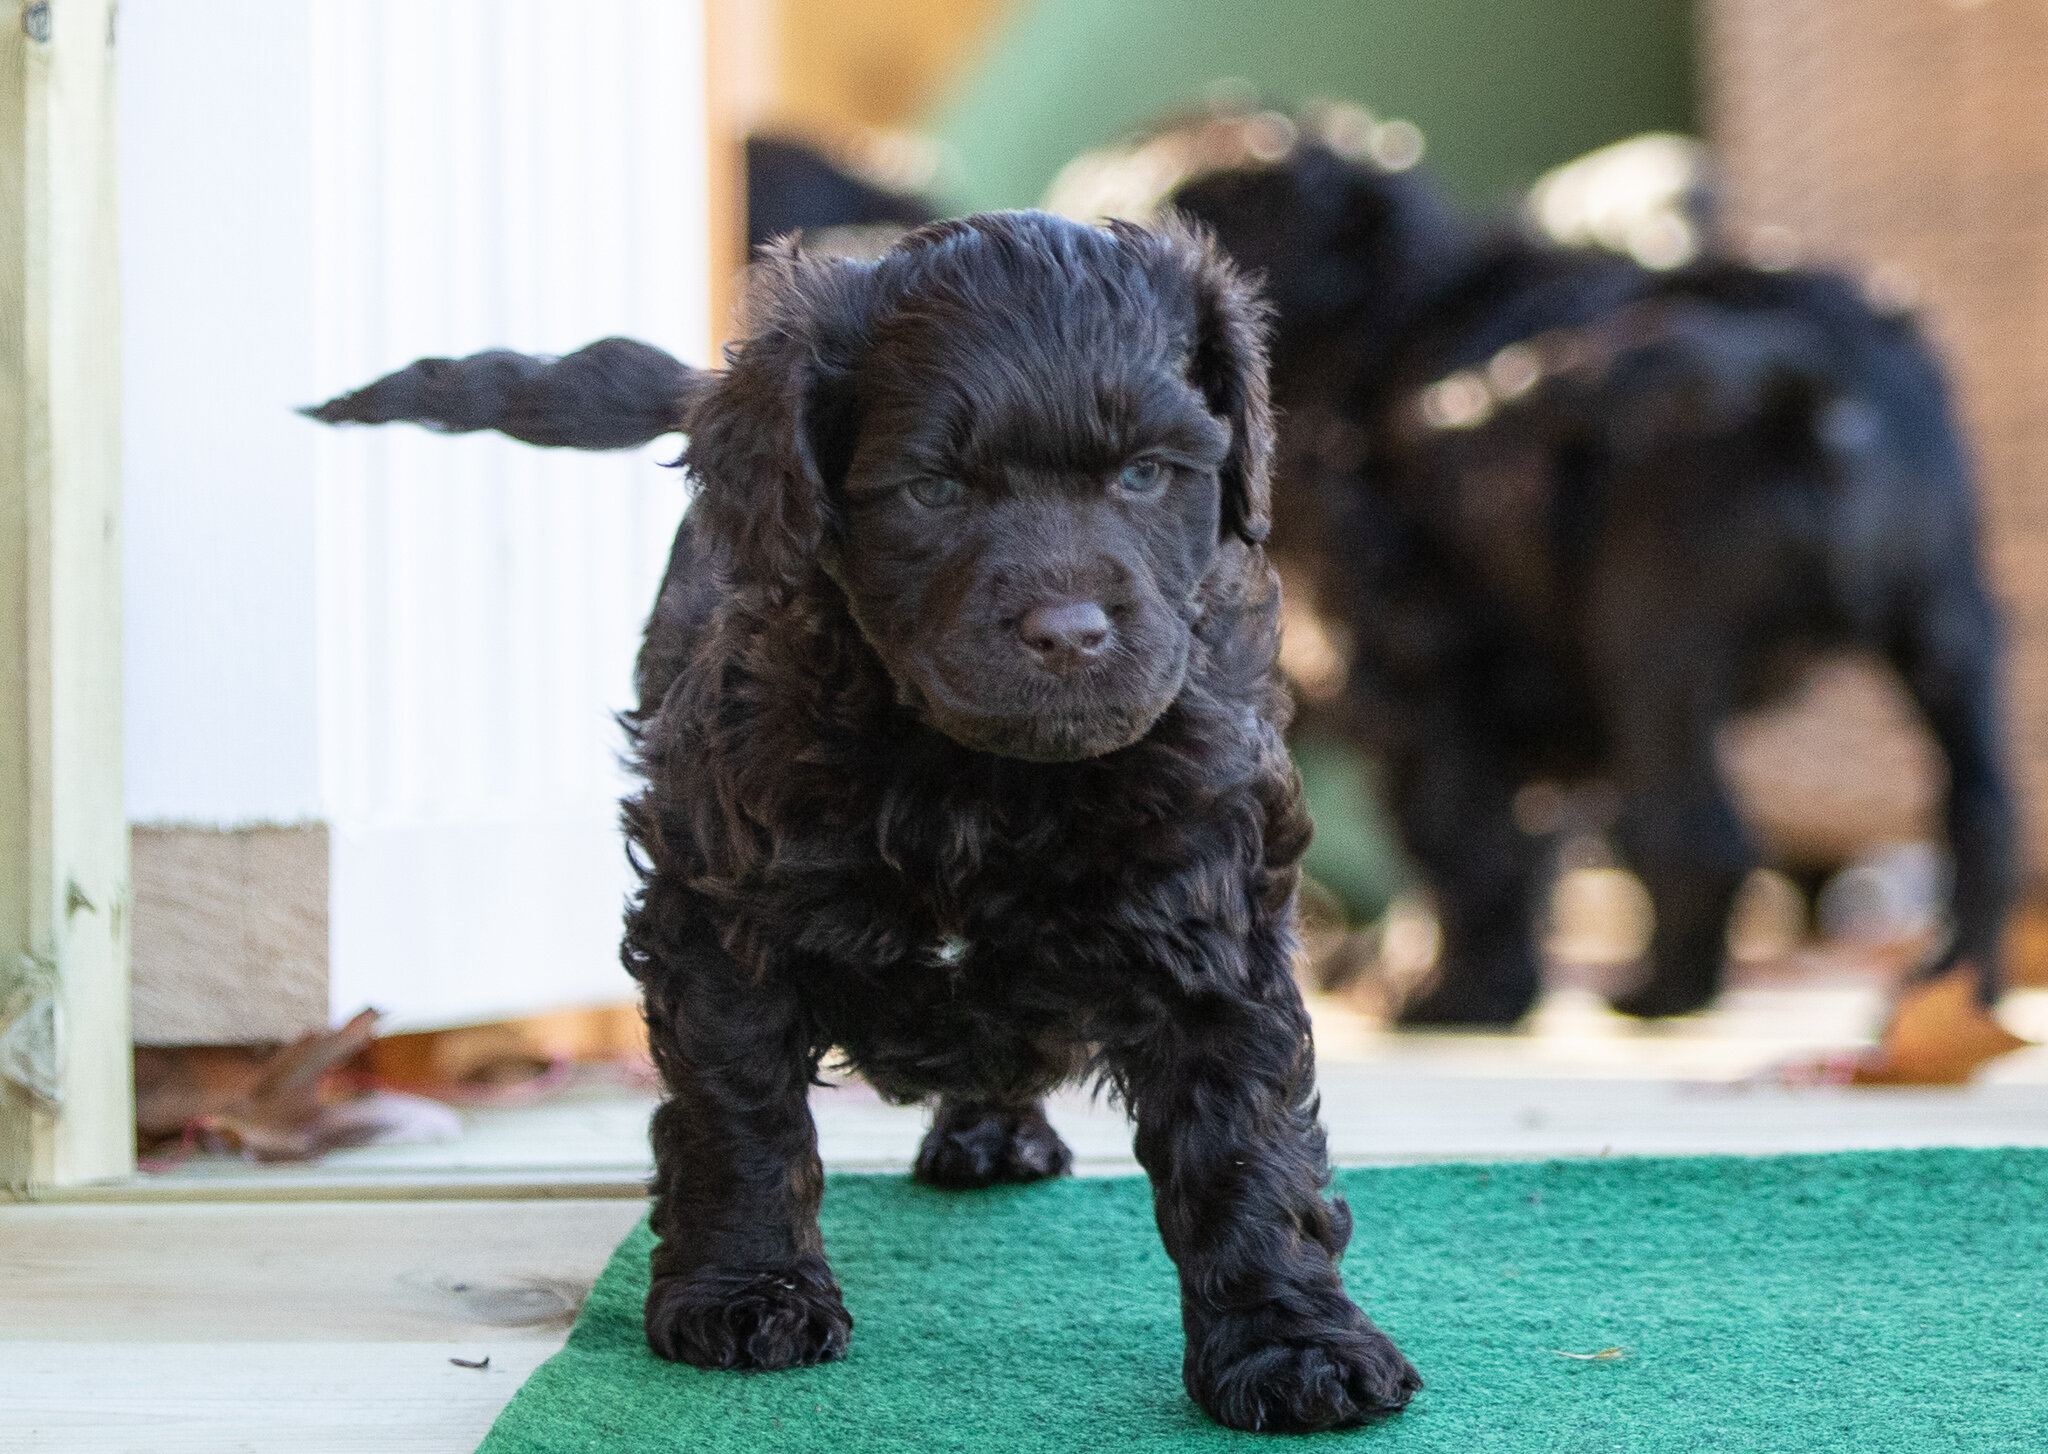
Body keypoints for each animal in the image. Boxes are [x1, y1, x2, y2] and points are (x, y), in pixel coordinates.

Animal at [307, 214, 1425, 1433]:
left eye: (1145, 474)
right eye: (931, 490)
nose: (1071, 632)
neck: (980, 779)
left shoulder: (1210, 906)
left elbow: (1245, 1143)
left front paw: (1289, 1342)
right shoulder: (719, 907)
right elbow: (739, 1110)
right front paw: (746, 1290)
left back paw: (994, 1130)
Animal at [1171, 148, 2015, 1023]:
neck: (1377, 325)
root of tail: (1810, 364)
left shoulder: (1428, 686)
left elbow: (1459, 850)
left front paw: (1459, 995)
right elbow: (1509, 853)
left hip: (1653, 632)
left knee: (1697, 834)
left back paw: (1663, 995)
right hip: (1950, 624)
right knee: (1981, 817)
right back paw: (1955, 992)